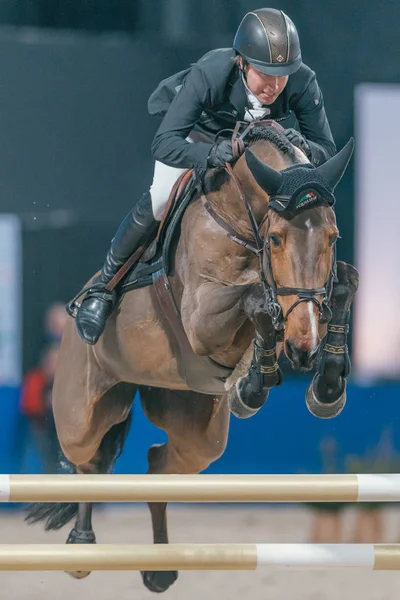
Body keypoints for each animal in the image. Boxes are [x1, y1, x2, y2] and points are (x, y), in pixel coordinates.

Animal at [25, 122, 360, 592]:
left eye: (333, 237)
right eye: (276, 238)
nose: (303, 346)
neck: (241, 217)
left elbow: (344, 281)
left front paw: (324, 386)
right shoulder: (203, 319)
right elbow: (256, 297)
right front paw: (256, 383)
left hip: (194, 425)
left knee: (157, 465)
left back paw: (159, 568)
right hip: (82, 413)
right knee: (88, 461)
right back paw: (81, 545)